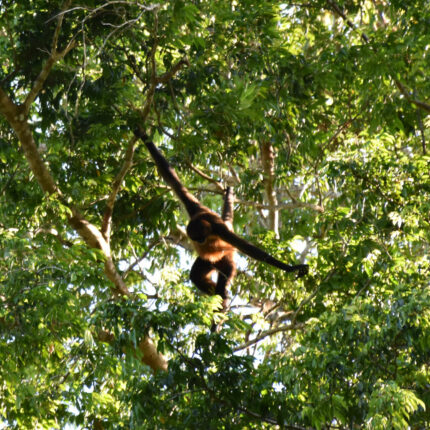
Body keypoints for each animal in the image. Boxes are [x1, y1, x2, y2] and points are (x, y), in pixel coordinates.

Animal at [133, 127, 308, 310]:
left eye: (200, 237)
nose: (200, 242)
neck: (207, 222)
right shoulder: (194, 207)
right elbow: (170, 176)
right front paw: (141, 133)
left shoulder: (220, 229)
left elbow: (248, 248)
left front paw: (290, 268)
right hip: (208, 262)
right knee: (196, 275)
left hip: (226, 259)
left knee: (223, 281)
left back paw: (220, 302)